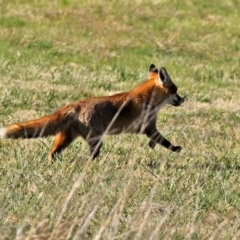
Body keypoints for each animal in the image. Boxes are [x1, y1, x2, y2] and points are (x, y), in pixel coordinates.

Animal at [0, 64, 185, 160]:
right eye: (175, 91)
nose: (183, 99)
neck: (148, 99)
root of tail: (74, 104)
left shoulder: (148, 128)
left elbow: (156, 141)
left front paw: (153, 147)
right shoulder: (148, 128)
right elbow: (164, 141)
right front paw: (176, 149)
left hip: (66, 138)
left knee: (52, 153)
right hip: (96, 140)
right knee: (91, 157)